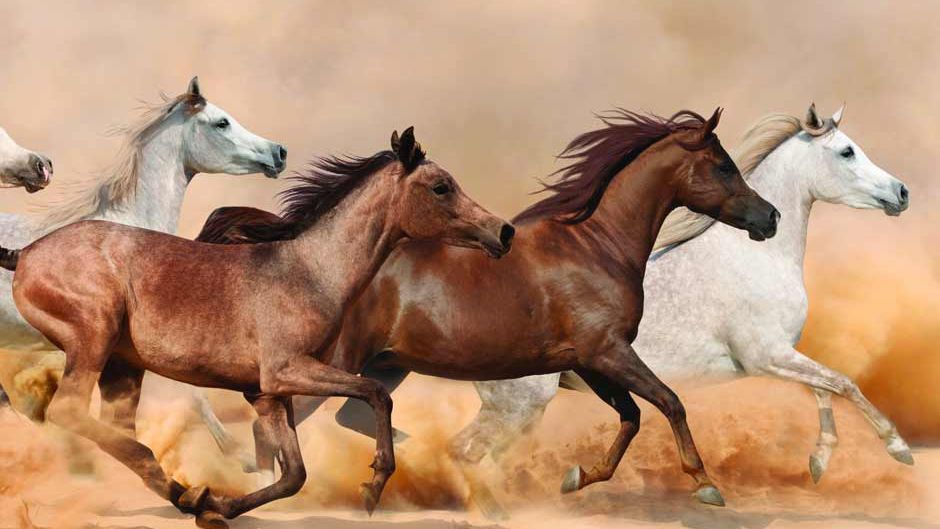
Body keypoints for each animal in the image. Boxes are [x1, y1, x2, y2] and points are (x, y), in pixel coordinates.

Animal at [0, 126, 514, 528]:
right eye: (441, 187)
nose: (504, 231)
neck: (308, 271)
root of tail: (25, 254)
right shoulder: (288, 372)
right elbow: (376, 394)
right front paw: (373, 486)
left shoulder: (266, 393)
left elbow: (293, 475)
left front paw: (218, 507)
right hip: (94, 339)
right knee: (69, 411)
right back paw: (183, 491)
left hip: (123, 366)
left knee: (113, 427)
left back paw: (185, 494)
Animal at [196, 107, 781, 512]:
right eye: (724, 166)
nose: (769, 217)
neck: (597, 246)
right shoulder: (609, 353)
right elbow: (669, 402)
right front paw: (706, 485)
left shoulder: (591, 362)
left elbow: (633, 417)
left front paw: (578, 477)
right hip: (325, 365)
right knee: (274, 422)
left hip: (384, 366)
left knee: (343, 417)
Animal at [302, 103, 912, 503]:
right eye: (847, 151)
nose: (769, 219)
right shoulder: (761, 355)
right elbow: (840, 384)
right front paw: (898, 448)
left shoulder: (771, 356)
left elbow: (824, 390)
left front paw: (818, 463)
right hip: (513, 401)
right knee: (457, 447)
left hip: (397, 370)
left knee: (375, 420)